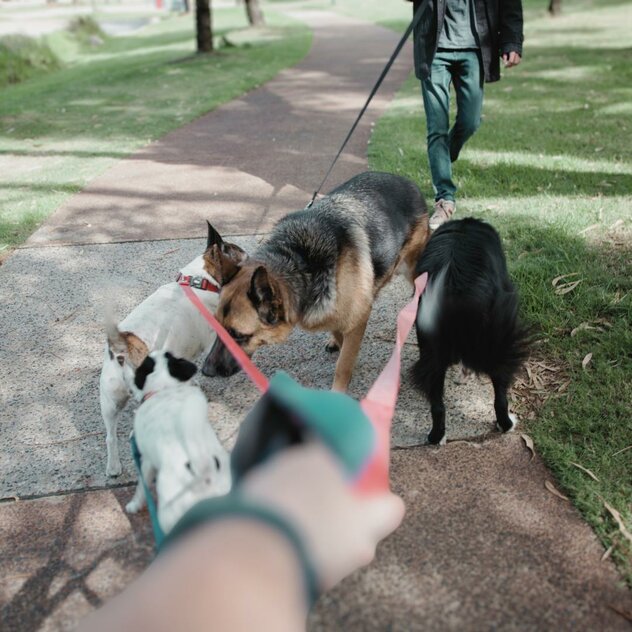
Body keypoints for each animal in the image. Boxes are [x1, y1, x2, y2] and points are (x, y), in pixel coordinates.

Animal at [100, 222, 246, 474]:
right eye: (239, 255)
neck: (200, 280)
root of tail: (125, 345)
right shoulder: (213, 338)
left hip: (109, 399)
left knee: (111, 435)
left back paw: (113, 466)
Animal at [124, 350, 231, 532]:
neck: (164, 390)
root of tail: (204, 474)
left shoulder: (146, 461)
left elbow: (141, 488)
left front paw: (133, 505)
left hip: (168, 514)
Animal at [202, 173, 430, 390]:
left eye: (239, 335)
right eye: (217, 327)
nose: (205, 371)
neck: (299, 260)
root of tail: (407, 181)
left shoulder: (359, 316)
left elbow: (343, 364)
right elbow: (340, 335)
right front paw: (339, 343)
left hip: (414, 270)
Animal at [412, 220, 532, 446]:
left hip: (431, 349)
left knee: (437, 405)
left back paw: (436, 437)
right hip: (497, 345)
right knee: (500, 397)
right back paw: (507, 424)